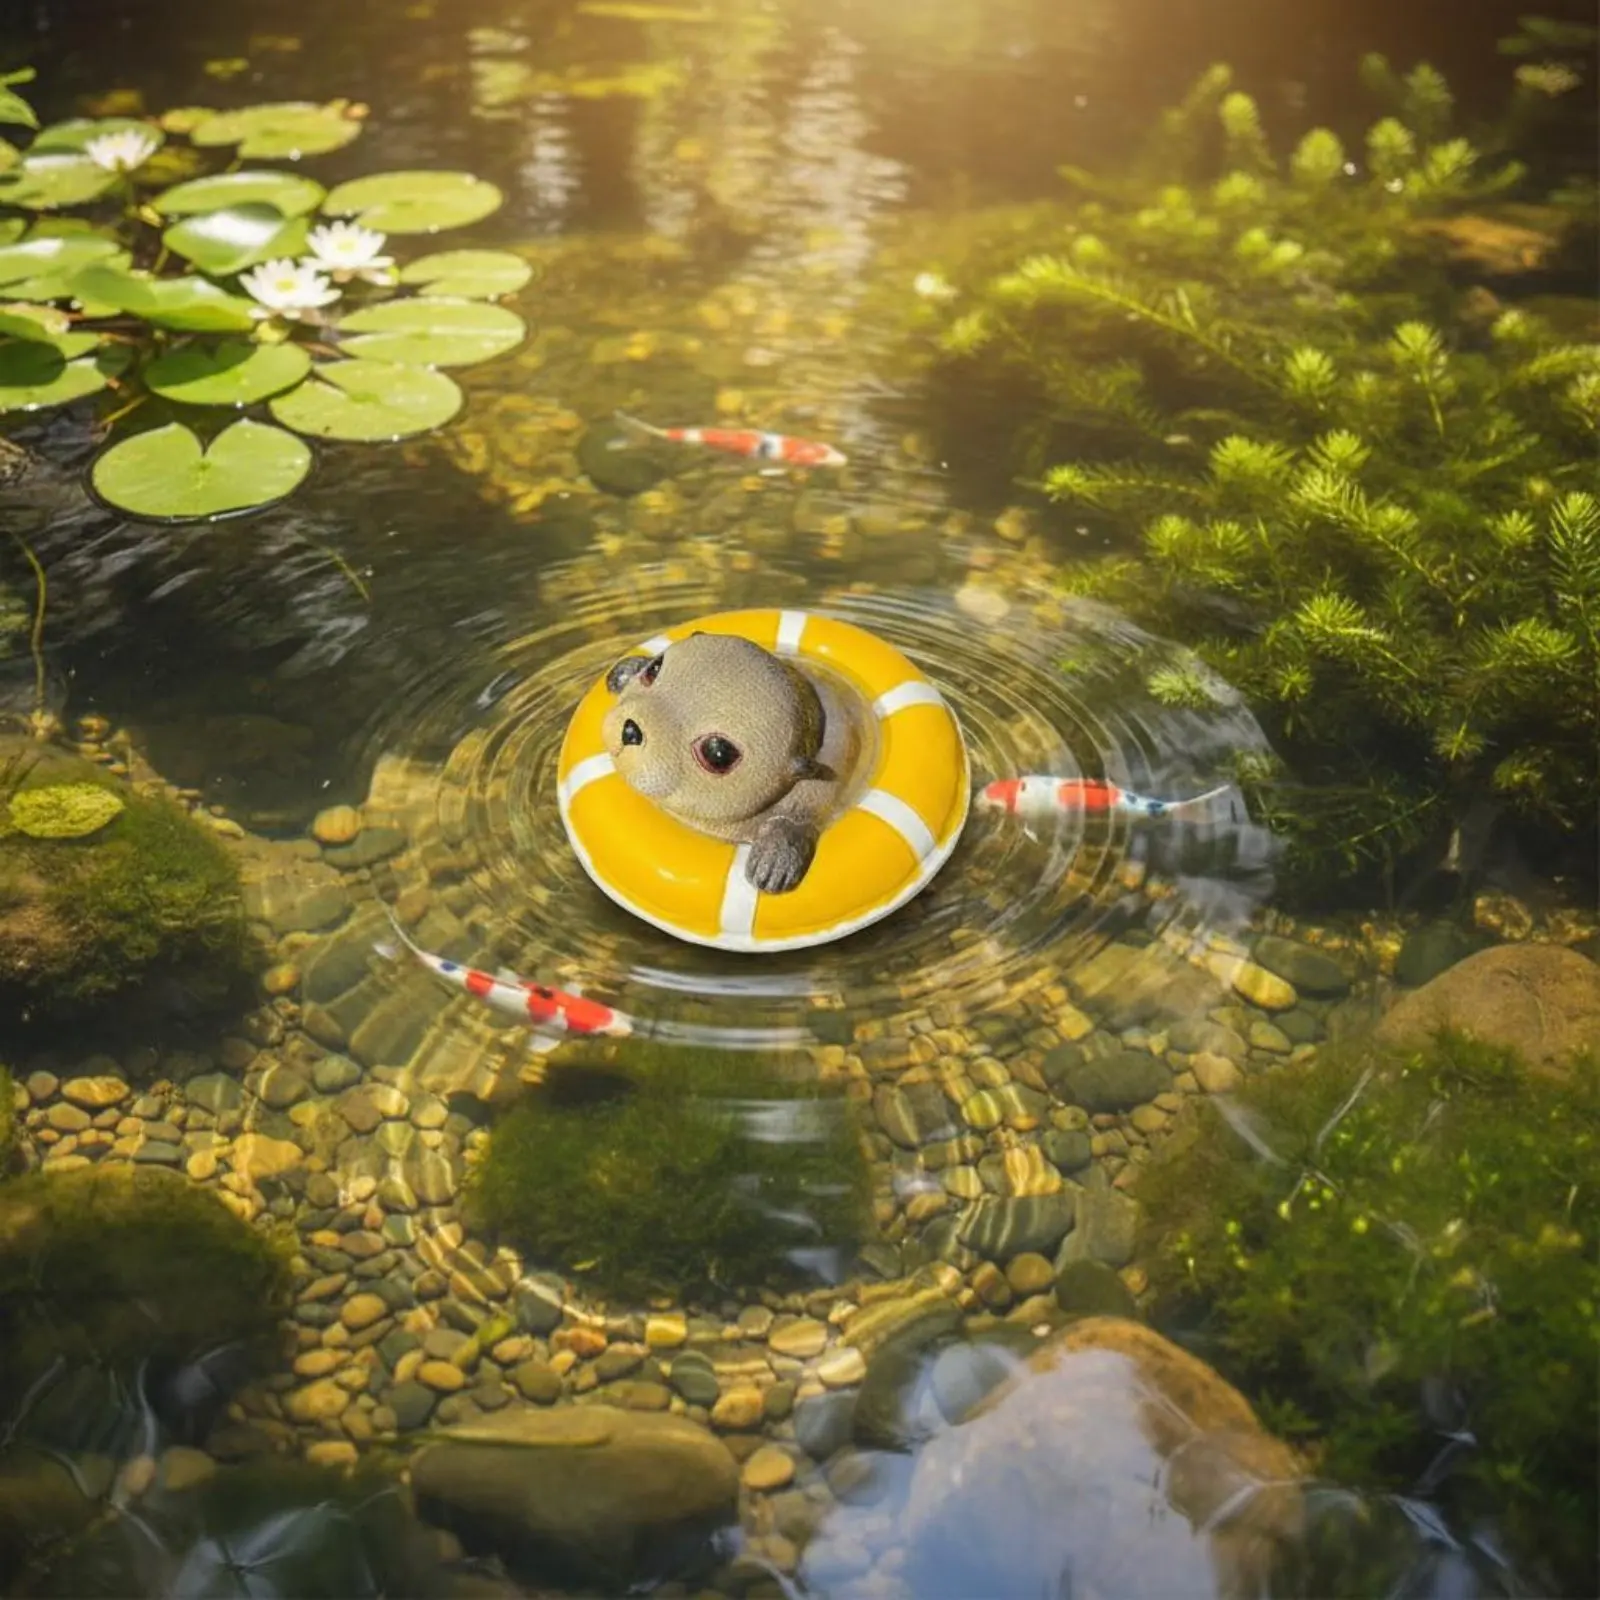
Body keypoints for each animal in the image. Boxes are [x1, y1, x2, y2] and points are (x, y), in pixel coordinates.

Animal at [601, 632, 865, 893]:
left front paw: (775, 858)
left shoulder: (816, 794)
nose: (631, 729)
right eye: (654, 668)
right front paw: (626, 670)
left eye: (718, 753)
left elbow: (798, 819)